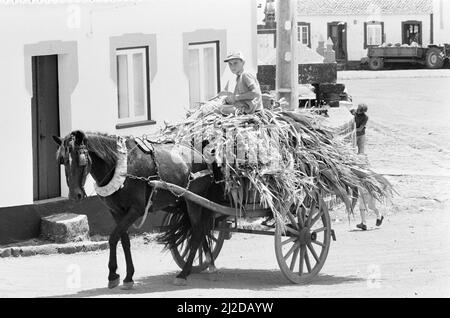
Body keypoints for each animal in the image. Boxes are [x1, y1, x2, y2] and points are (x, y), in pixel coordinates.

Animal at [52, 130, 220, 290]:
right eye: (62, 160)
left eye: (81, 158)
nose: (75, 195)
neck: (120, 167)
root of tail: (200, 154)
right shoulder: (116, 212)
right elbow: (124, 240)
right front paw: (127, 277)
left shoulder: (135, 210)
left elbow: (113, 237)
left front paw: (113, 275)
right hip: (188, 200)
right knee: (200, 230)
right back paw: (209, 266)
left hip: (194, 201)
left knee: (197, 231)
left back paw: (184, 274)